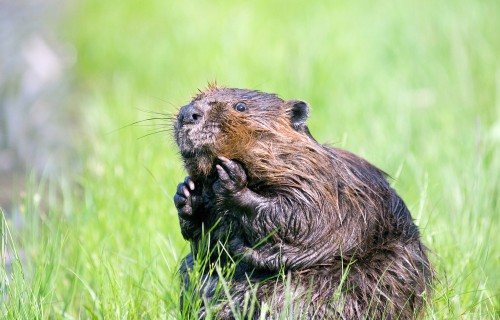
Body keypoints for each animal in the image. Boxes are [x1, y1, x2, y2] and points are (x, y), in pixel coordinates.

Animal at [174, 84, 432, 318]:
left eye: (240, 106)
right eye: (195, 98)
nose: (188, 112)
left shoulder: (320, 183)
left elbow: (301, 216)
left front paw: (232, 179)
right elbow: (207, 246)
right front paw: (186, 193)